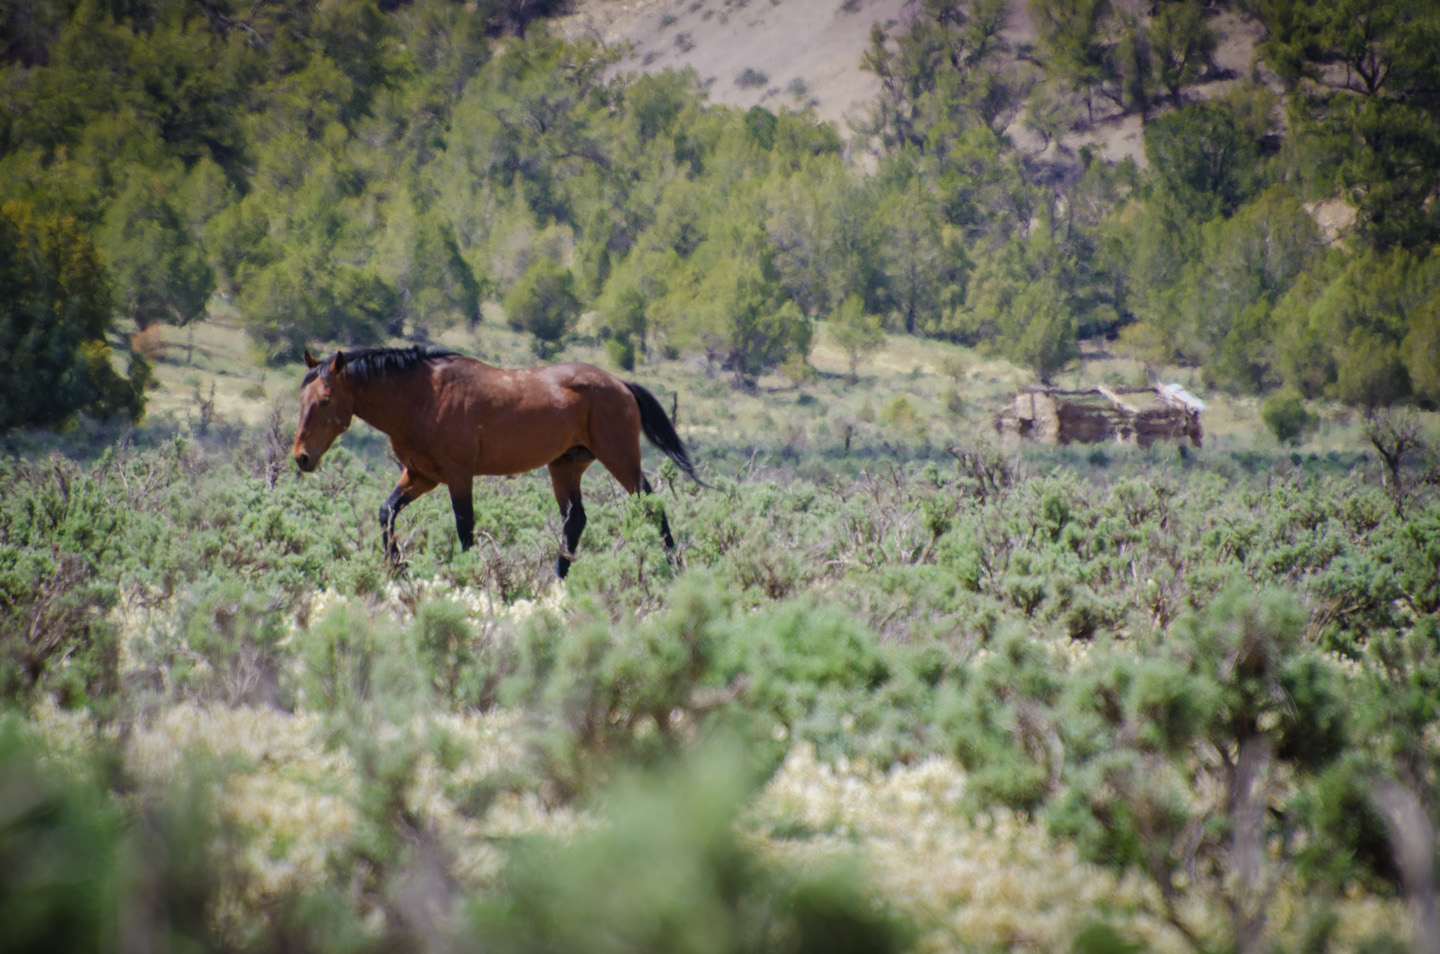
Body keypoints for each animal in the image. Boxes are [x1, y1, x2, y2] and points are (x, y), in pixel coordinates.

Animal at [291, 346, 702, 578]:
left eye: (325, 400)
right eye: (302, 398)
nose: (302, 457)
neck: (423, 396)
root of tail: (620, 384)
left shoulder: (458, 475)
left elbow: (464, 528)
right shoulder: (421, 475)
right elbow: (386, 512)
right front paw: (397, 570)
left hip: (620, 458)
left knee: (652, 506)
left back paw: (675, 571)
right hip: (565, 466)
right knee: (575, 521)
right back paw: (557, 582)